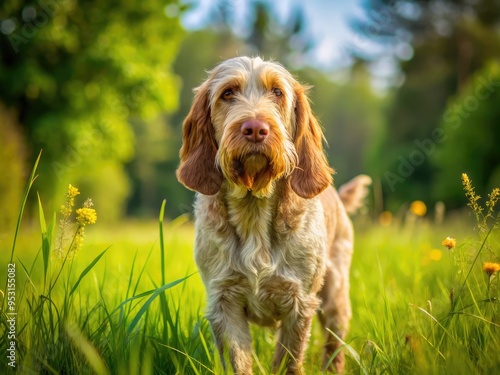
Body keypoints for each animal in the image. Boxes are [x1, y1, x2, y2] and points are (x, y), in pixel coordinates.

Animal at [177, 57, 372, 374]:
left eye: (277, 92)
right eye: (228, 93)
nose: (255, 128)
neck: (254, 209)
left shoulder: (299, 303)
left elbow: (288, 361)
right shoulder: (224, 302)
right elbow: (238, 361)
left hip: (335, 297)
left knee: (334, 347)